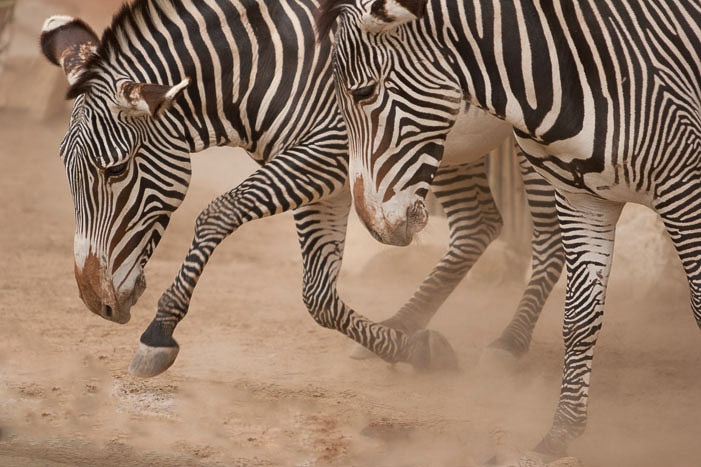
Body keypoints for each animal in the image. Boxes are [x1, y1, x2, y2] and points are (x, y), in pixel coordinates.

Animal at [38, 0, 562, 380]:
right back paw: (403, 323)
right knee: (479, 225)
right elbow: (318, 296)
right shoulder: (328, 183)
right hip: (437, 145)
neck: (267, 67)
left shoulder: (329, 156)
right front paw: (414, 351)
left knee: (550, 240)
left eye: (115, 170)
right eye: (67, 171)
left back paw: (509, 344)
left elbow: (219, 212)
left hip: (533, 131)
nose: (95, 303)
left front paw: (159, 332)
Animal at [319, 0, 701, 460]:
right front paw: (559, 436)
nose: (374, 225)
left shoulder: (685, 190)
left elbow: (699, 304)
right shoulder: (582, 200)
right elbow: (579, 319)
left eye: (363, 94)